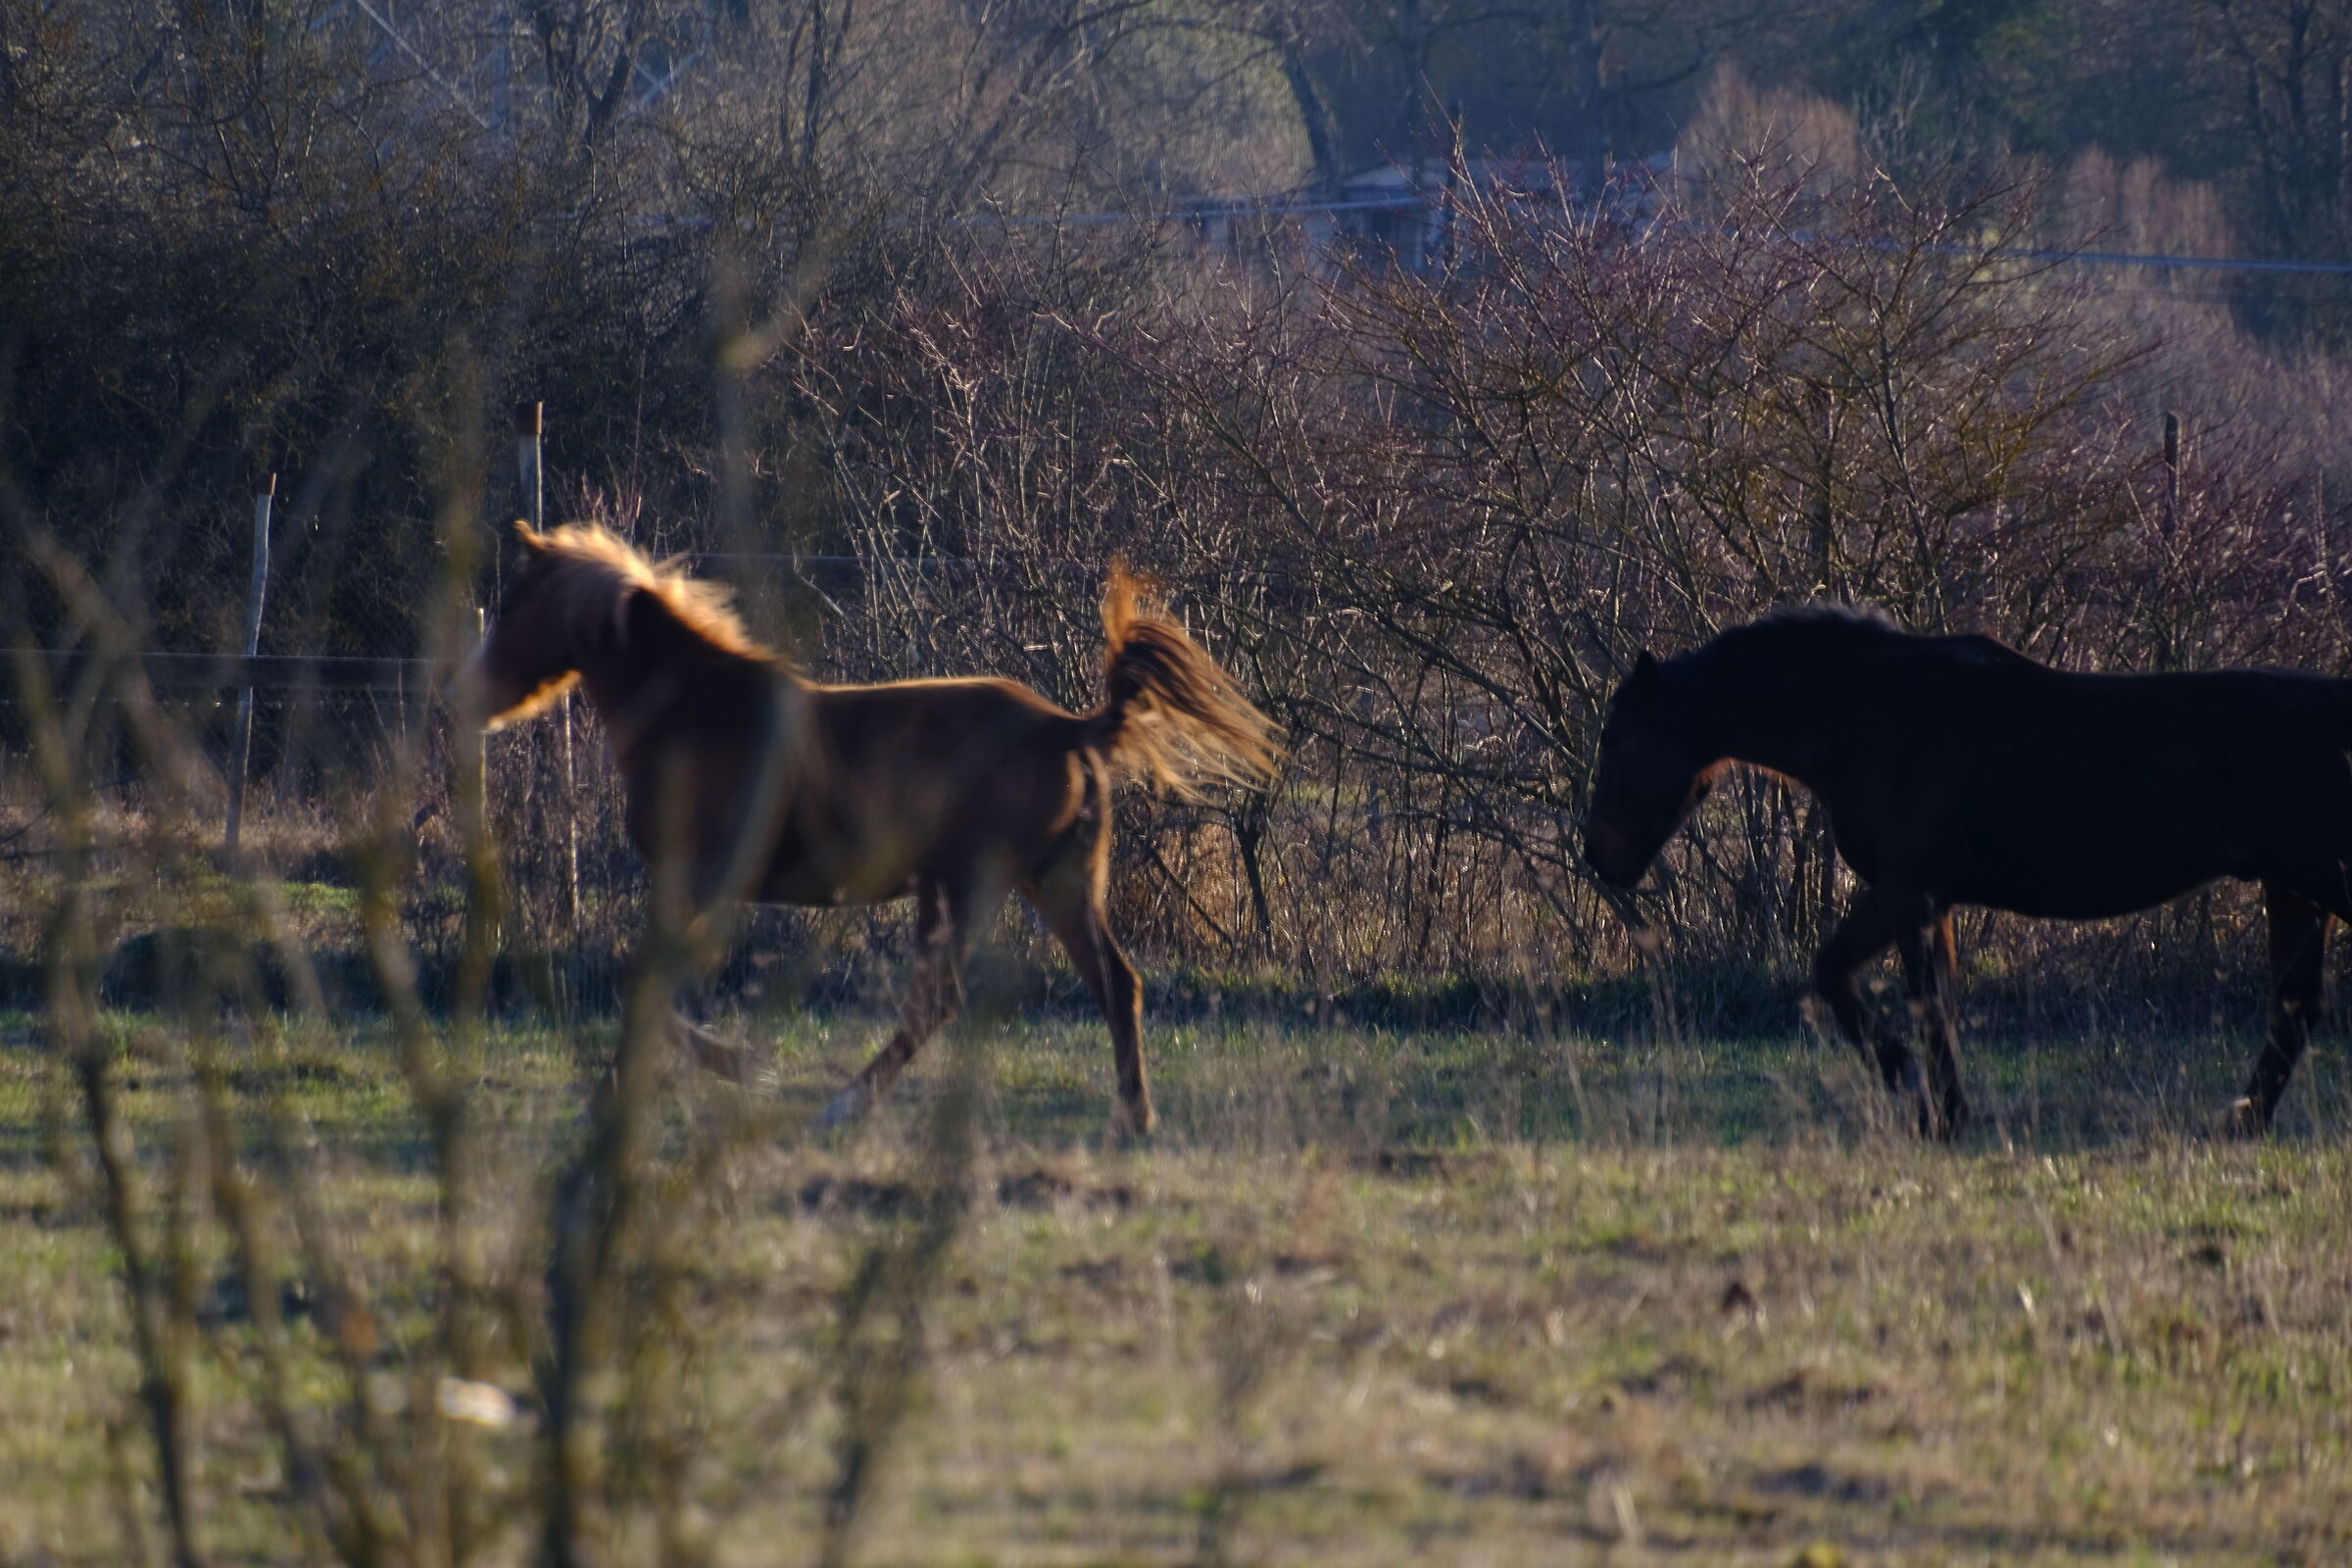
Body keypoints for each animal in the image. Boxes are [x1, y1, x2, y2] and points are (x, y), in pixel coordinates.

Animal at [451, 522, 1280, 1136]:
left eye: (515, 604)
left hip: (970, 886)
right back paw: (1132, 1119)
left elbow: (645, 982)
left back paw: (840, 1108)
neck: (697, 711)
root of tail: (1072, 727)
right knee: (1114, 984)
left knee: (941, 1004)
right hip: (1053, 884)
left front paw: (722, 1073)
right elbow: (650, 985)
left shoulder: (703, 881)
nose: (467, 698)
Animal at [1581, 604, 2352, 1139]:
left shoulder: (1908, 892)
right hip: (2293, 891)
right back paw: (2242, 1120)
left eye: (1614, 737)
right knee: (2295, 1007)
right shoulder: (1920, 898)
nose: (1598, 859)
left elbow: (1902, 998)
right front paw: (1937, 1107)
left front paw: (1917, 1091)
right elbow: (1882, 987)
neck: (1866, 713)